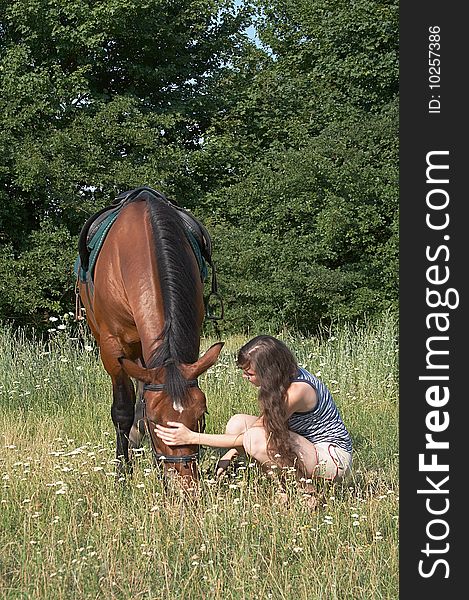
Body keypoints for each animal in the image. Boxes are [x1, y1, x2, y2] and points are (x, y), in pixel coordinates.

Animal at [77, 188, 223, 482]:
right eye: (157, 420)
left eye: (201, 416)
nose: (182, 481)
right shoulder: (112, 348)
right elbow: (122, 410)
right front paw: (122, 473)